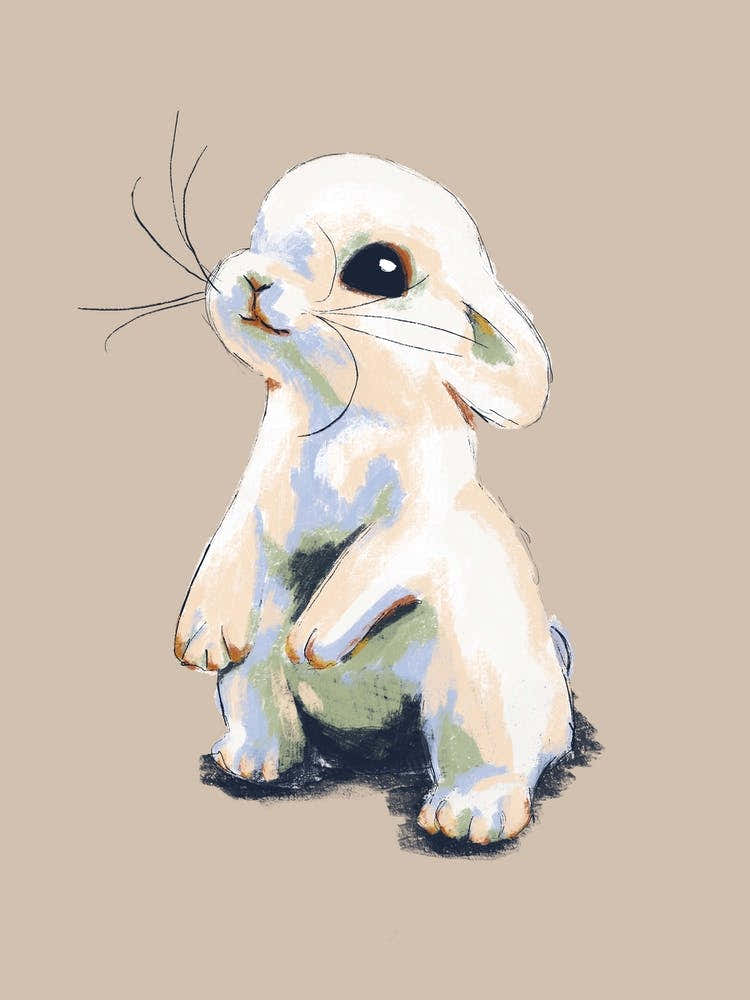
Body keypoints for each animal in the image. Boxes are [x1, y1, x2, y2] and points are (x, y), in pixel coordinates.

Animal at [174, 153, 574, 845]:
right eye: (258, 236)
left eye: (382, 271)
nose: (252, 279)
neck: (341, 416)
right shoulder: (257, 494)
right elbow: (232, 542)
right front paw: (202, 636)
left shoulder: (421, 513)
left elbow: (376, 555)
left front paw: (313, 640)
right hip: (260, 665)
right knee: (263, 691)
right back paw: (253, 760)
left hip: (479, 686)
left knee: (493, 758)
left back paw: (470, 816)